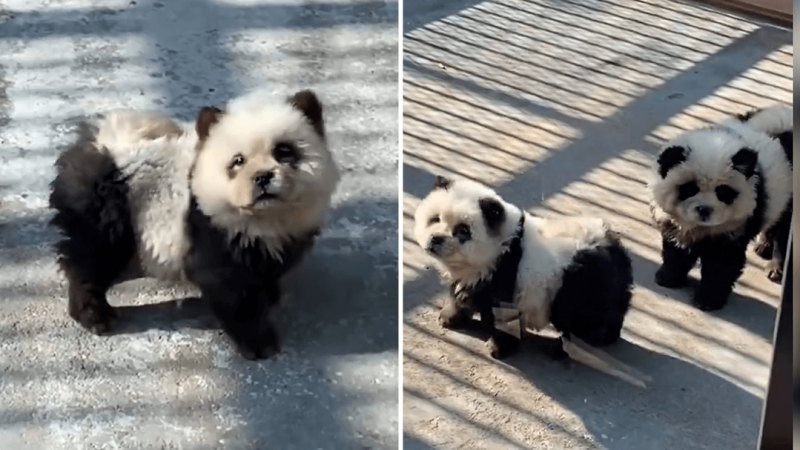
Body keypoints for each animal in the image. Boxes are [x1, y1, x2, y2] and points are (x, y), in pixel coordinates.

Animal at [49, 89, 338, 358]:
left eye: (284, 151)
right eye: (238, 161)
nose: (263, 177)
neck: (265, 217)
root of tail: (101, 143)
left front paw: (271, 295)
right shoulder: (213, 234)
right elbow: (232, 292)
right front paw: (259, 342)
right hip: (106, 208)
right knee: (92, 259)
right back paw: (94, 315)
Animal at [416, 178, 636, 368]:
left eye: (463, 231)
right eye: (434, 219)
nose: (436, 239)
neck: (503, 245)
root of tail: (618, 252)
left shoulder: (506, 275)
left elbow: (504, 314)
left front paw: (498, 348)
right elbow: (463, 292)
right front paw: (449, 316)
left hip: (580, 283)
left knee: (581, 318)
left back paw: (570, 347)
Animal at [648, 104, 792, 312]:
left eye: (723, 192)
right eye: (690, 188)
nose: (704, 210)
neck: (701, 228)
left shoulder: (735, 227)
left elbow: (722, 264)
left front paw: (707, 299)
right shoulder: (676, 223)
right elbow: (677, 249)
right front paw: (668, 277)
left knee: (786, 231)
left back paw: (776, 267)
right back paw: (764, 246)